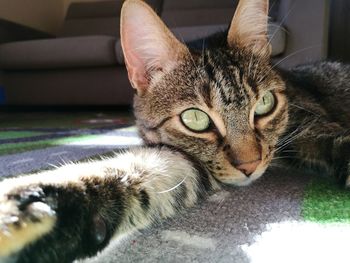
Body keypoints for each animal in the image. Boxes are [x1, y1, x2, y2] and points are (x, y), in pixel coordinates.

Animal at [0, 0, 350, 262]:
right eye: (195, 119)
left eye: (264, 103)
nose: (250, 166)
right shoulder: (185, 161)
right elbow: (130, 172)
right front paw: (30, 208)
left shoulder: (311, 124)